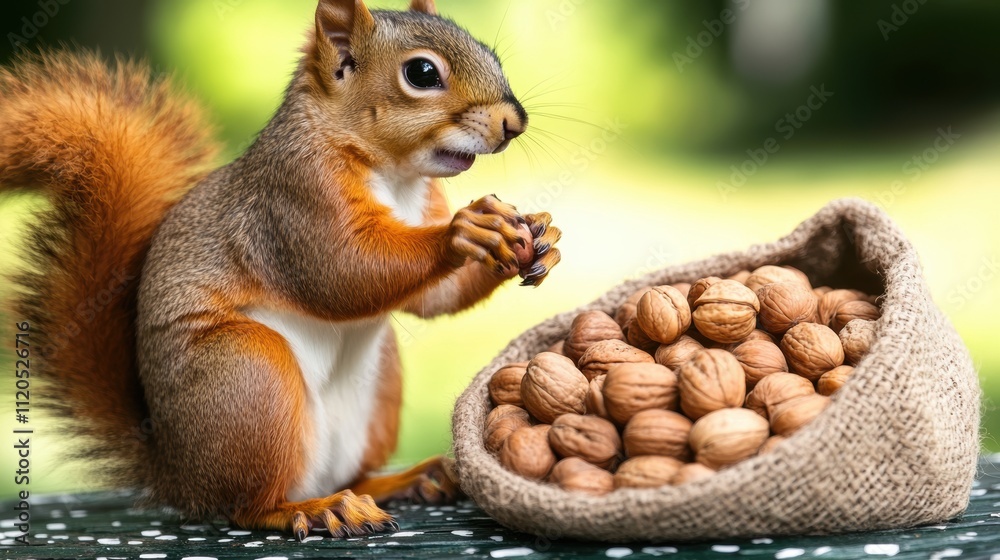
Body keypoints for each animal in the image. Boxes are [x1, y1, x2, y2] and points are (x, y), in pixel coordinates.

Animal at [0, 0, 561, 540]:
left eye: (490, 53)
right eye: (421, 73)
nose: (515, 123)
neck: (395, 173)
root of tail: (178, 476)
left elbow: (432, 300)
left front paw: (541, 236)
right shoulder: (293, 198)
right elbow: (344, 272)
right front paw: (467, 229)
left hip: (379, 385)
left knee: (353, 476)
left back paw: (405, 480)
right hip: (248, 375)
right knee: (247, 506)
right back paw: (315, 510)